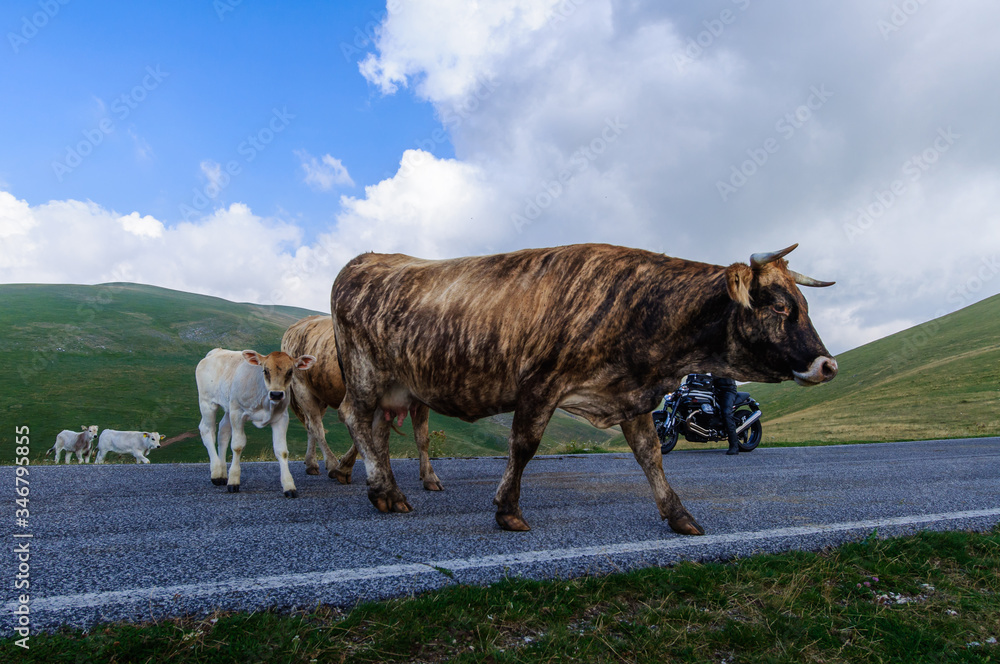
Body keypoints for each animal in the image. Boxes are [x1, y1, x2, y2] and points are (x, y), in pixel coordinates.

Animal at [196, 348, 316, 497]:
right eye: (265, 370)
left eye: (290, 371)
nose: (276, 394)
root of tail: (216, 351)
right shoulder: (237, 413)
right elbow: (237, 446)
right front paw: (233, 481)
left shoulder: (281, 418)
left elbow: (282, 451)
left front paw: (289, 486)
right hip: (207, 402)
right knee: (207, 430)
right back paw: (217, 473)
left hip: (228, 406)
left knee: (223, 431)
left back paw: (223, 473)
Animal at [281, 315, 444, 490]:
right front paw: (343, 469)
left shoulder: (420, 400)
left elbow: (422, 438)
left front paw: (429, 477)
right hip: (301, 388)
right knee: (317, 427)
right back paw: (331, 464)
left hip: (319, 394)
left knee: (310, 425)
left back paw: (311, 464)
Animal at [331, 243, 837, 534]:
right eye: (778, 306)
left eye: (804, 304)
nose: (828, 364)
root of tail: (366, 259)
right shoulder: (540, 382)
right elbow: (524, 445)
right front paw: (507, 509)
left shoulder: (631, 394)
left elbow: (650, 454)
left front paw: (678, 514)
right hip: (364, 371)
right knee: (353, 417)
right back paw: (386, 491)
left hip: (396, 386)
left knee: (376, 430)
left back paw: (384, 488)